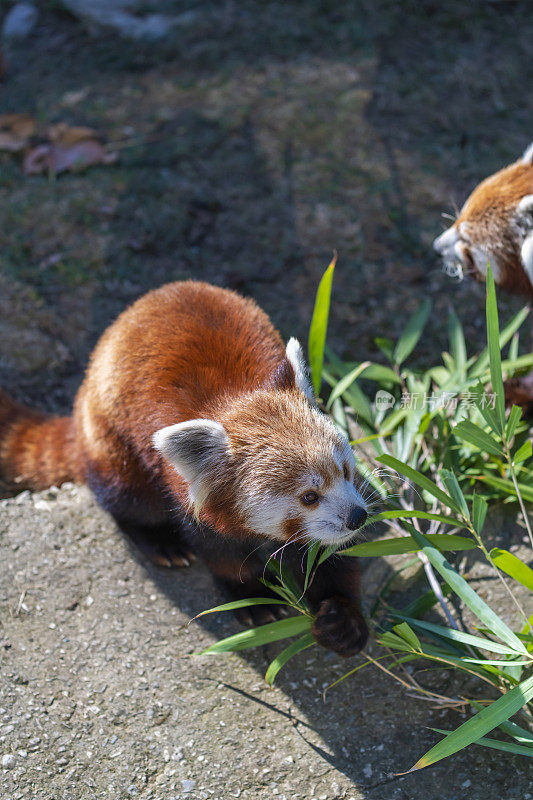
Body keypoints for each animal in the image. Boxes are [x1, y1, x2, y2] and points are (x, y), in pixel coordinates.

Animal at [0, 282, 368, 656]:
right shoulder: (184, 492)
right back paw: (160, 541)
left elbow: (331, 557)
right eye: (309, 496)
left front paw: (342, 620)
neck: (236, 397)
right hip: (114, 443)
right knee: (128, 499)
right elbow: (219, 552)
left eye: (345, 472)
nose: (358, 517)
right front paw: (253, 597)